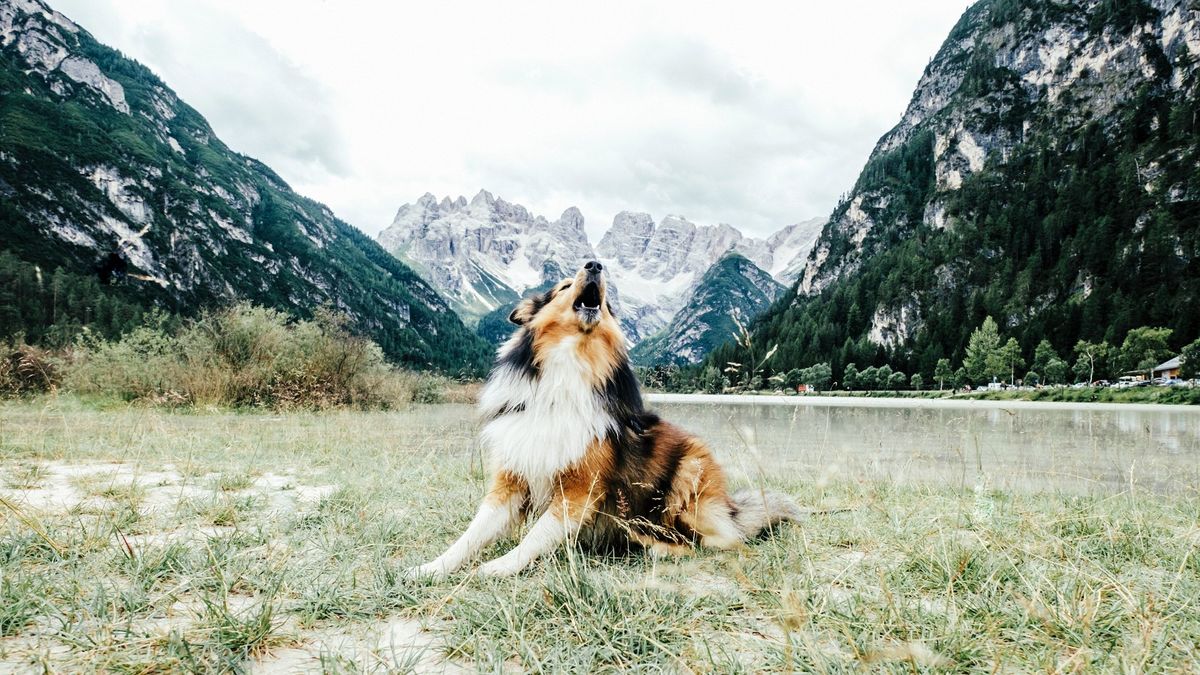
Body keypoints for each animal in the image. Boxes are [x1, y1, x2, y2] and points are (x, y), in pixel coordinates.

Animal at [408, 260, 801, 576]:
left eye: (609, 303)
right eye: (563, 286)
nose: (595, 265)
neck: (570, 365)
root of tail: (731, 508)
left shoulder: (579, 491)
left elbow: (535, 536)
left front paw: (497, 567)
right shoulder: (511, 481)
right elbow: (472, 533)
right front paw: (431, 568)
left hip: (690, 475)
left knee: (713, 542)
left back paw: (654, 545)